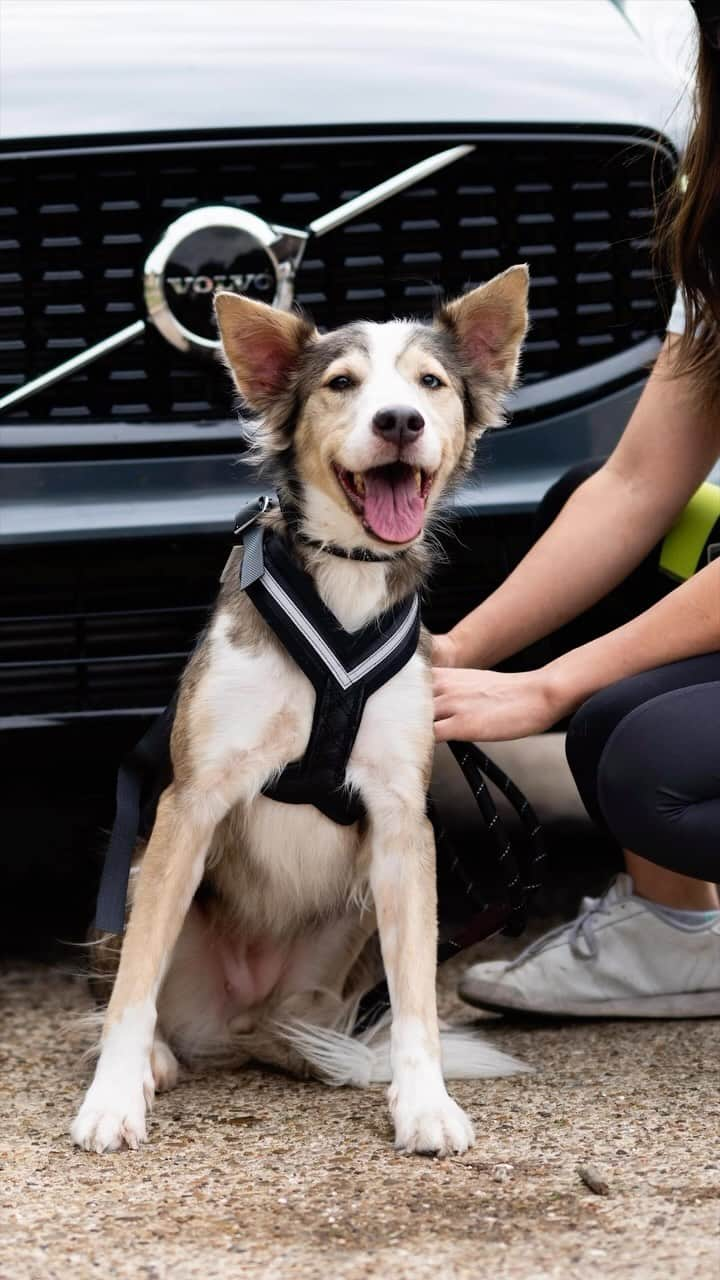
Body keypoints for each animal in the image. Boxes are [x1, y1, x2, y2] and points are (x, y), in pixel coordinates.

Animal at [71, 264, 527, 1157]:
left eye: (431, 383)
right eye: (341, 384)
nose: (399, 421)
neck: (343, 584)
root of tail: (237, 1020)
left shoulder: (401, 825)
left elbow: (418, 998)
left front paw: (425, 1102)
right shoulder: (189, 804)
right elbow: (133, 986)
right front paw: (112, 1099)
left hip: (345, 929)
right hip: (138, 869)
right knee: (145, 987)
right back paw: (156, 1060)